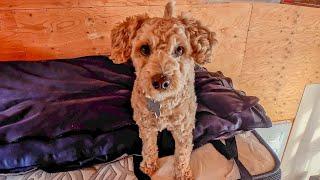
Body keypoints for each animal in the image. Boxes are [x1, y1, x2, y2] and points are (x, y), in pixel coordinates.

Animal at [110, 1, 218, 179]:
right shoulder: (146, 126)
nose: (161, 81)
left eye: (180, 49)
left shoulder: (183, 129)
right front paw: (148, 165)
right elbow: (149, 147)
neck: (162, 103)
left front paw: (182, 173)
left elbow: (182, 153)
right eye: (144, 49)